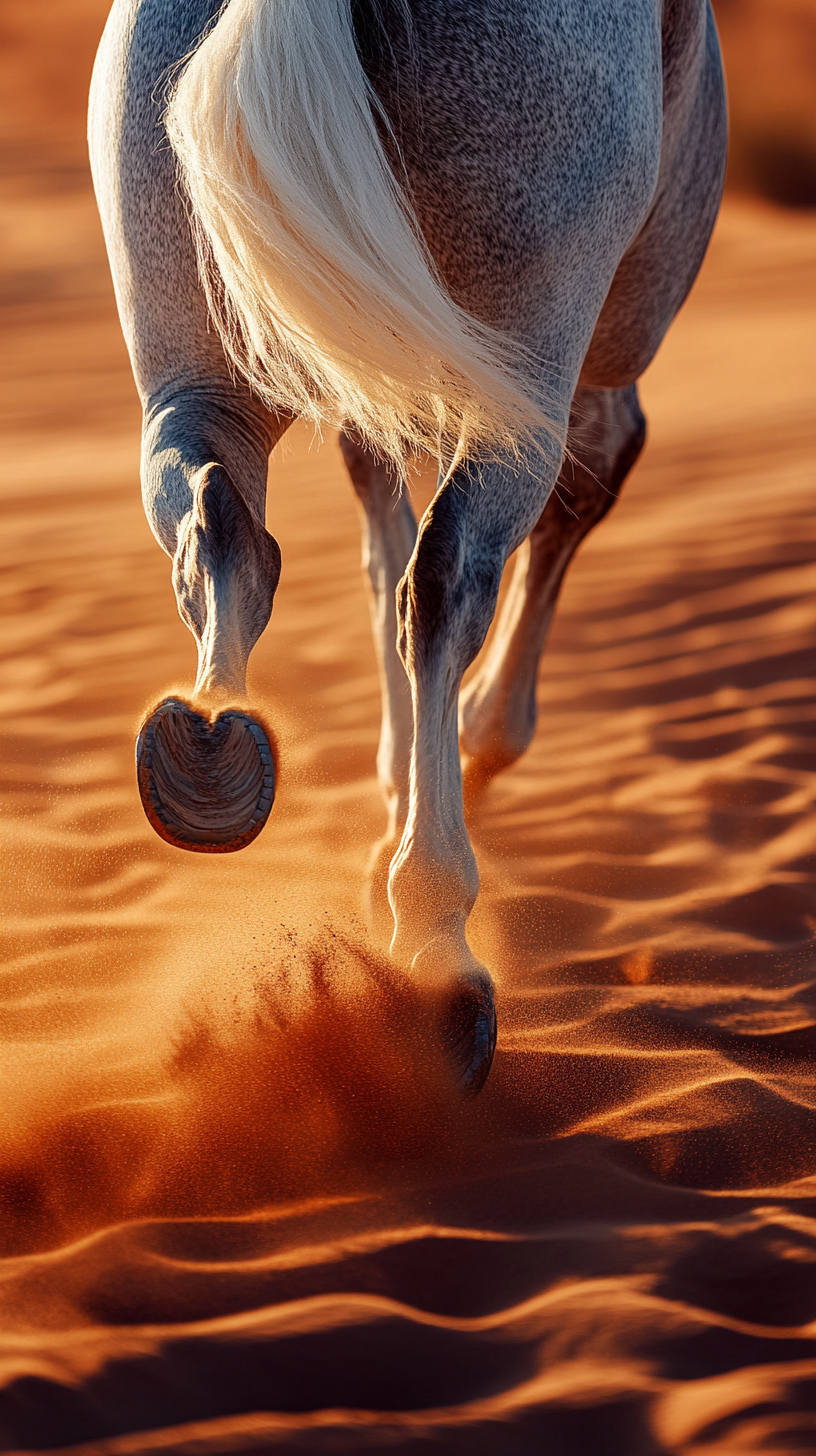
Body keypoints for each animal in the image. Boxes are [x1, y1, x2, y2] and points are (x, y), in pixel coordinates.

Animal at [87, 0, 725, 1094]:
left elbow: (377, 539)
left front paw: (393, 790)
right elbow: (579, 487)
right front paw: (471, 749)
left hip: (191, 368)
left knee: (218, 524)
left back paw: (211, 756)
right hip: (532, 358)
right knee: (450, 576)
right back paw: (438, 948)